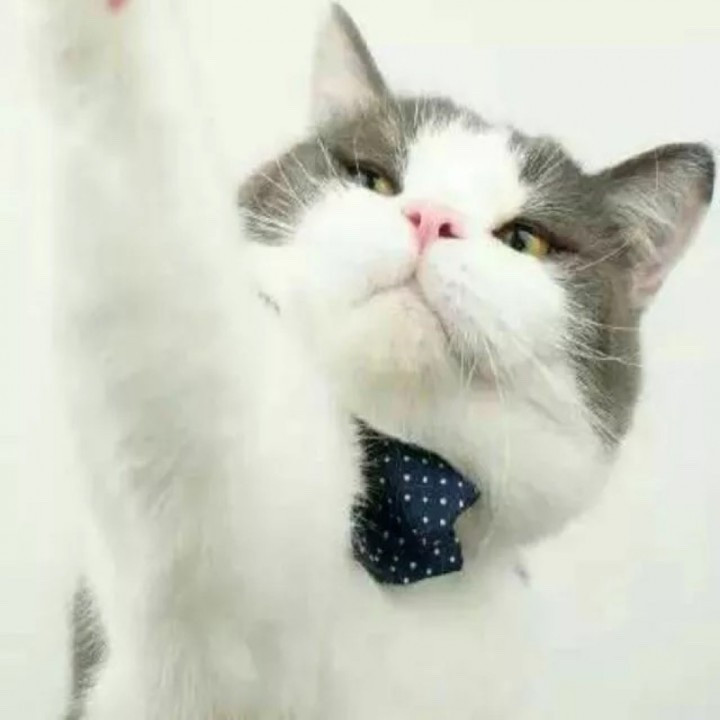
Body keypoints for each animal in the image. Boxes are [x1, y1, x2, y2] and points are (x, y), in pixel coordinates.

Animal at [34, 0, 714, 718]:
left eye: (524, 240)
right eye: (372, 179)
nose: (432, 218)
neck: (399, 548)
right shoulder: (198, 600)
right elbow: (170, 333)